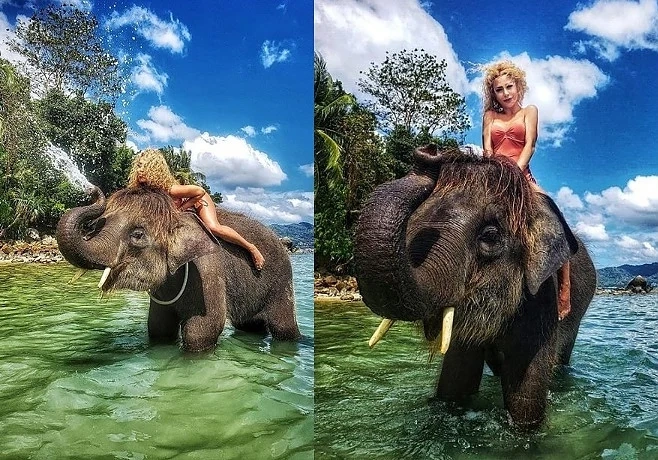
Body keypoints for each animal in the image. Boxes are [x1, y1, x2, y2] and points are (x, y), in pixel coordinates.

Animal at [56, 185, 301, 352]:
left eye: (138, 234)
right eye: (99, 223)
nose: (90, 188)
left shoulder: (208, 272)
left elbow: (203, 330)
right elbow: (158, 328)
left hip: (282, 282)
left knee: (283, 327)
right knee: (249, 325)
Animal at [354, 145, 597, 429]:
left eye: (490, 236)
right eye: (412, 226)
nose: (428, 152)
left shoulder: (541, 296)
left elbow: (525, 394)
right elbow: (456, 380)